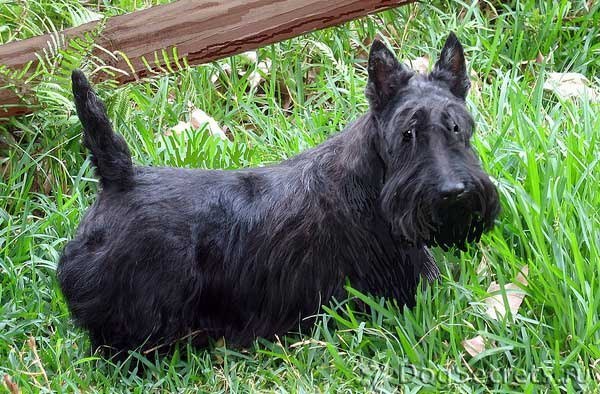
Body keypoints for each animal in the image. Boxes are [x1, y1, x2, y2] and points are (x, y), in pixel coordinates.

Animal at [57, 33, 496, 352]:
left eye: (457, 126)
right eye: (407, 132)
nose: (453, 191)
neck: (372, 181)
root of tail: (120, 177)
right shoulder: (408, 281)